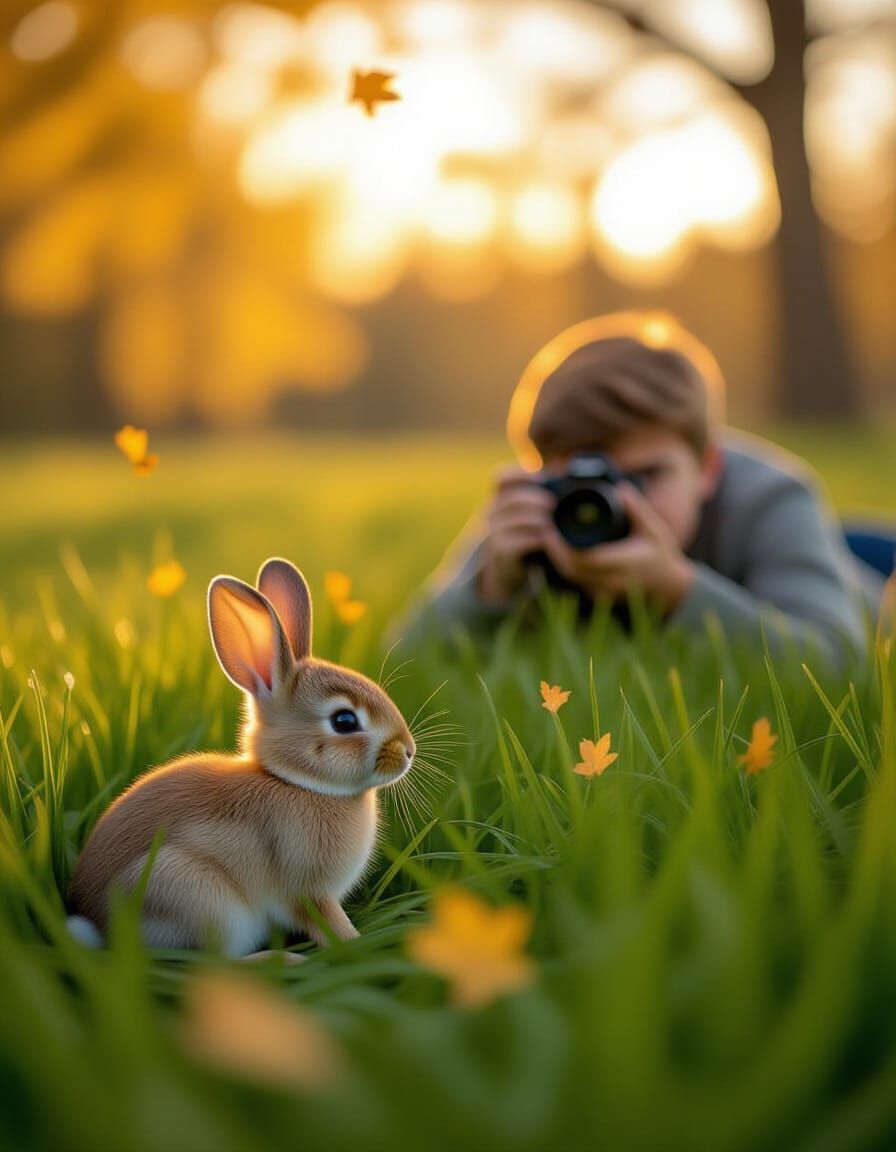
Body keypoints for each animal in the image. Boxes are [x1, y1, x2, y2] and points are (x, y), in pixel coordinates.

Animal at [66, 557, 415, 960]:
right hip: (199, 897)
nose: (408, 751)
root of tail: (98, 926)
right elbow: (329, 923)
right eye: (344, 721)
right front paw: (358, 946)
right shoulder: (311, 892)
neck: (294, 782)